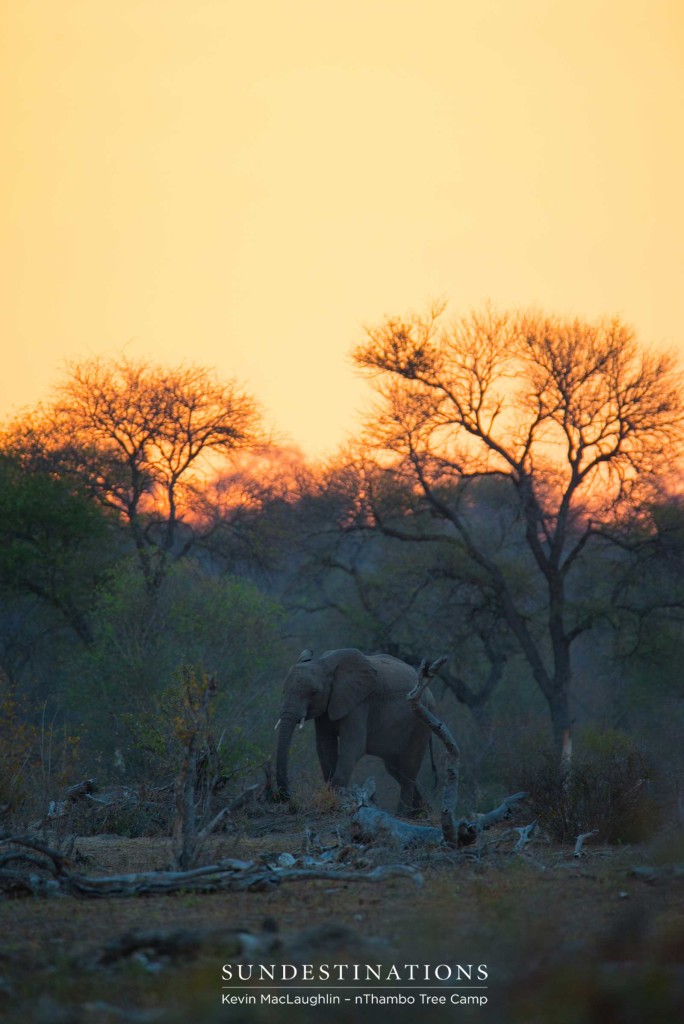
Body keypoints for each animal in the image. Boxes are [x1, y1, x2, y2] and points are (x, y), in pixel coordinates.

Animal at [274, 647, 436, 815]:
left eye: (313, 693)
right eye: (284, 691)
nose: (286, 797)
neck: (324, 663)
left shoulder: (360, 703)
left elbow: (353, 747)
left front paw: (336, 798)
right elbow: (324, 745)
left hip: (422, 720)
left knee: (409, 768)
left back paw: (403, 814)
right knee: (394, 768)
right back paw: (421, 812)